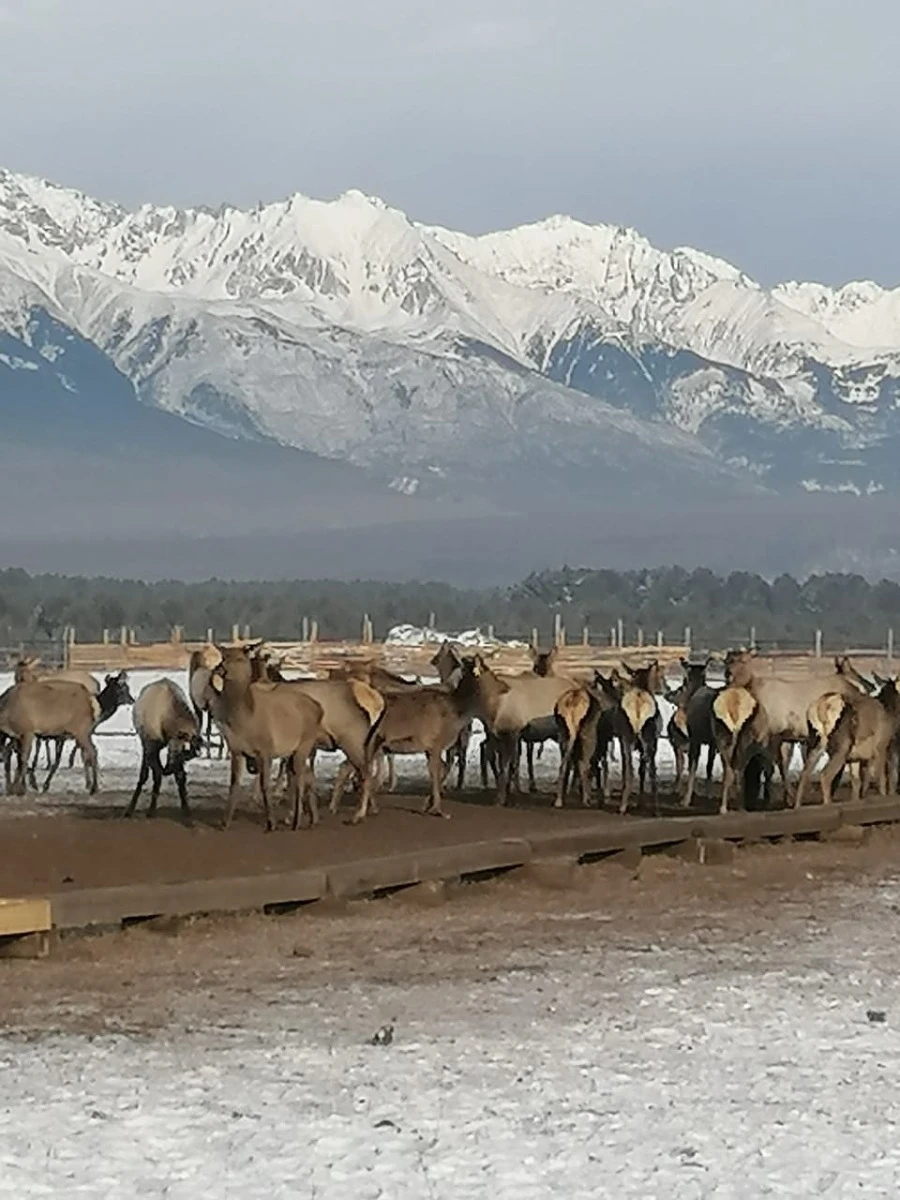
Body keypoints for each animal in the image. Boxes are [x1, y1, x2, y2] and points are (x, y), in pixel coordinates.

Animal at [125, 681, 202, 820]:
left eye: (188, 756)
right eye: (182, 751)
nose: (169, 767)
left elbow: (177, 778)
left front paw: (187, 811)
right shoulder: (151, 746)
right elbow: (156, 776)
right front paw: (151, 810)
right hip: (145, 744)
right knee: (145, 774)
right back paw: (130, 809)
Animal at [207, 648, 328, 835]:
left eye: (240, 658)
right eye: (223, 655)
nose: (220, 669)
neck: (244, 722)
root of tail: (319, 708)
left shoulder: (265, 749)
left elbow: (265, 786)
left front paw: (271, 823)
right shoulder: (236, 751)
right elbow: (234, 785)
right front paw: (224, 822)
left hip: (305, 743)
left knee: (300, 779)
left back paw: (296, 821)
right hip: (294, 750)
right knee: (304, 775)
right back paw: (311, 818)